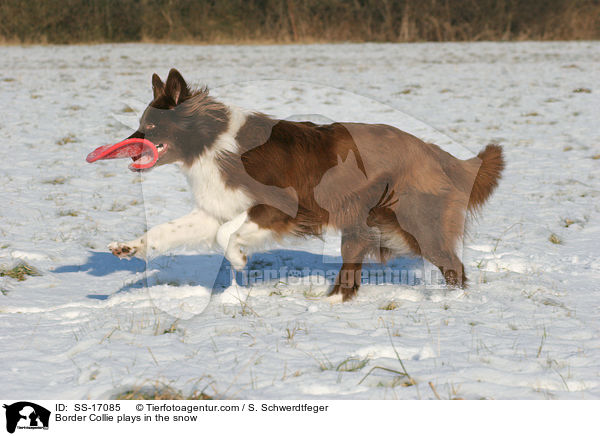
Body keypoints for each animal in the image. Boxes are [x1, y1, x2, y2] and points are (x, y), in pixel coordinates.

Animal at [105, 69, 504, 300]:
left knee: (453, 265)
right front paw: (128, 247)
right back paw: (335, 300)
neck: (212, 140)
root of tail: (436, 153)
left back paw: (452, 303)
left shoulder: (282, 206)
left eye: (151, 126)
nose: (124, 147)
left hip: (414, 223)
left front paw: (238, 258)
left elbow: (227, 235)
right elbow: (168, 230)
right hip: (367, 220)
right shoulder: (217, 207)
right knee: (356, 257)